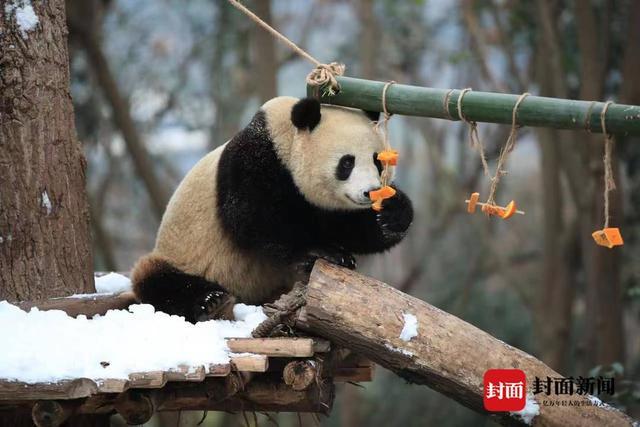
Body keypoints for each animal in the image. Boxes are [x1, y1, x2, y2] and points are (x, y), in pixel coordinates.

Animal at [134, 97, 416, 322]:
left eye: (377, 161)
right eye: (347, 163)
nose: (369, 192)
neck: (286, 138)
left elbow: (351, 228)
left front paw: (391, 213)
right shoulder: (255, 161)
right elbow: (254, 219)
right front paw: (324, 252)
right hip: (180, 256)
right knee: (160, 281)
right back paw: (209, 301)